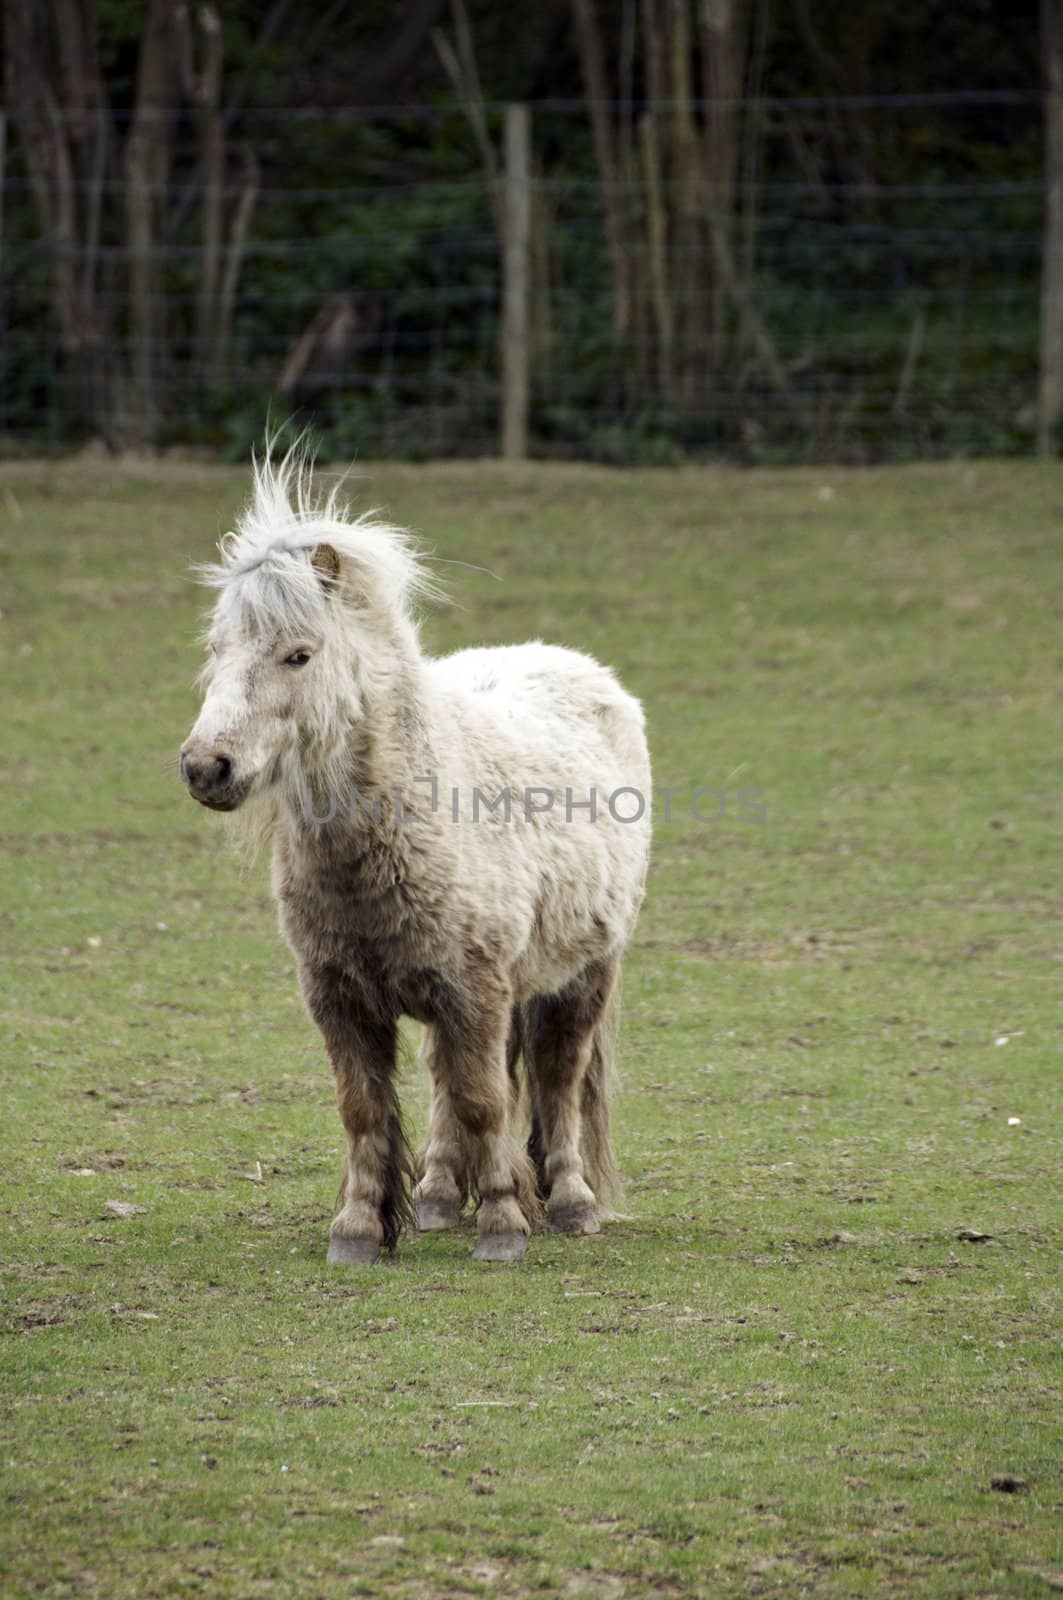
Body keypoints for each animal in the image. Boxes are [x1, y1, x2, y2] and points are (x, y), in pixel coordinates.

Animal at [178, 451, 653, 1260]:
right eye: (217, 652)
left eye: (298, 655)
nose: (207, 767)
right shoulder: (340, 998)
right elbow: (366, 1109)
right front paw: (360, 1229)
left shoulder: (476, 993)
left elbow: (485, 1101)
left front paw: (501, 1224)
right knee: (443, 1081)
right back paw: (435, 1196)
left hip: (583, 975)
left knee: (556, 1078)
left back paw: (568, 1201)